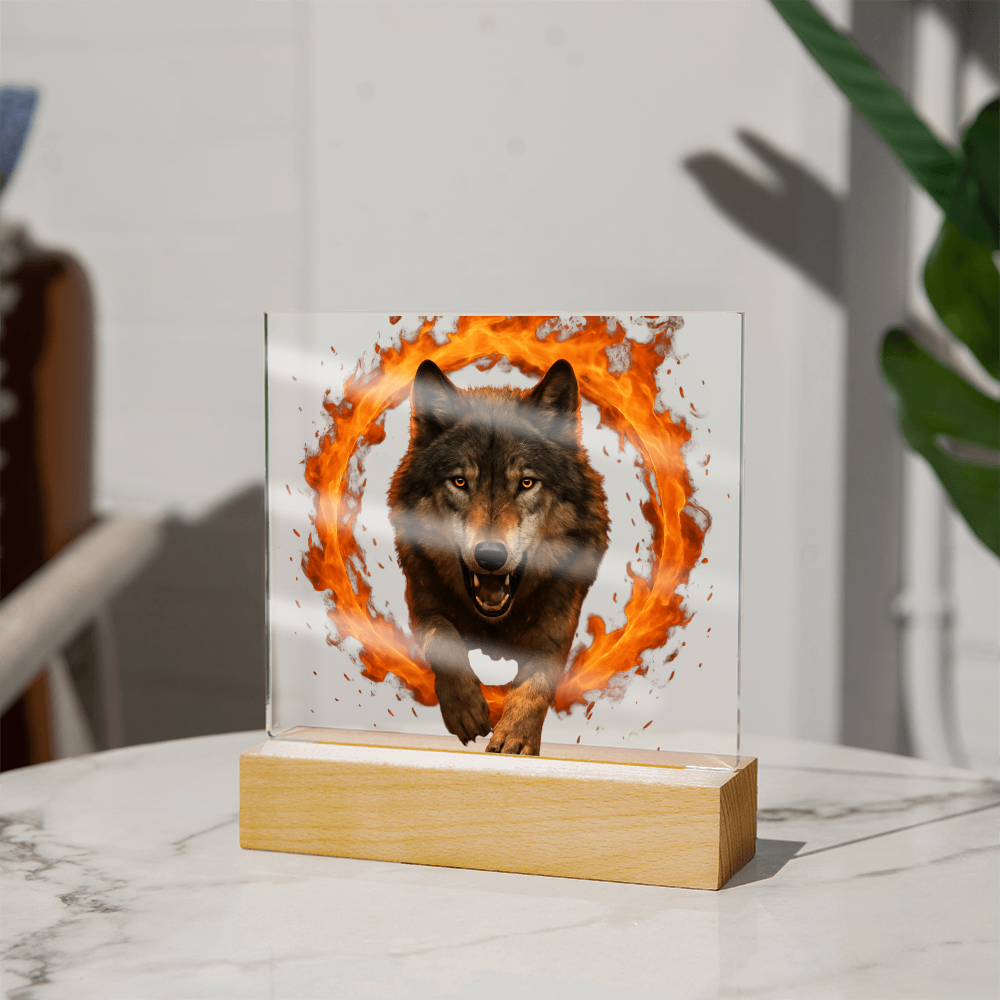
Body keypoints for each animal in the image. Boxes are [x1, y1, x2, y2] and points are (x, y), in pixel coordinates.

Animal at [388, 358, 610, 755]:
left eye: (526, 483)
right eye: (460, 481)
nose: (490, 557)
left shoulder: (559, 618)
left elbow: (536, 681)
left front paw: (516, 738)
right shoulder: (422, 598)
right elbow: (443, 636)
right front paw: (466, 710)